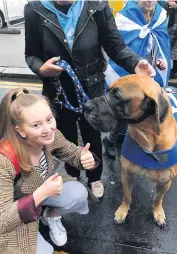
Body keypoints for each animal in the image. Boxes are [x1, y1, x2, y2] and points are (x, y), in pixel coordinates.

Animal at [83, 75, 177, 226]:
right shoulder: (126, 174)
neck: (148, 138)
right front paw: (123, 211)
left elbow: (158, 198)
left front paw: (158, 212)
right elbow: (127, 195)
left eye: (117, 97)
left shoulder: (165, 182)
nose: (86, 106)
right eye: (107, 89)